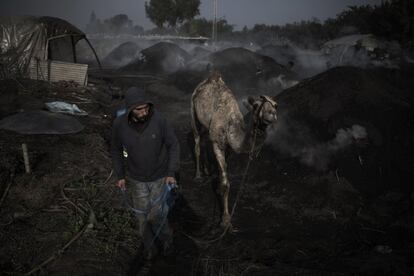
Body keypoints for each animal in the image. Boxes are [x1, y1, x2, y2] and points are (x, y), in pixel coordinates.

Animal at [192, 71, 278, 229]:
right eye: (256, 105)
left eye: (276, 105)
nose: (272, 114)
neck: (231, 126)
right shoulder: (218, 144)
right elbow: (227, 182)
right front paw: (225, 220)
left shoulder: (229, 148)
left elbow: (224, 169)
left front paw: (218, 188)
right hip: (193, 111)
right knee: (197, 141)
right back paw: (198, 175)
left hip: (207, 125)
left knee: (205, 138)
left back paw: (207, 170)